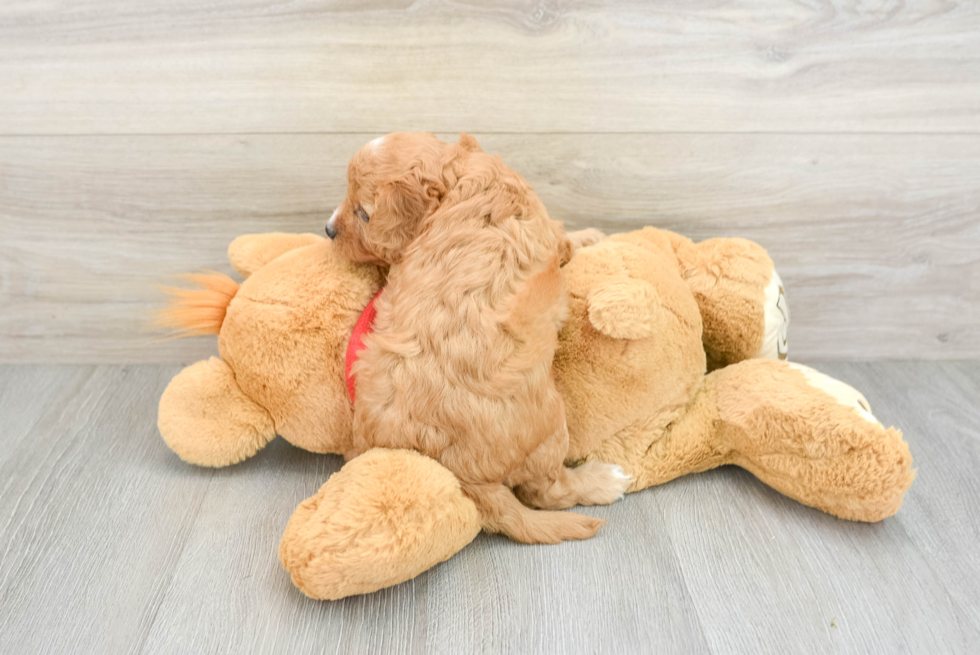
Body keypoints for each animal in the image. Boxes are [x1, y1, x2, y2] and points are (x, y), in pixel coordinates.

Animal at [322, 132, 628, 544]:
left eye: (363, 213)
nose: (328, 229)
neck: (456, 180)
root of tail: (462, 479)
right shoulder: (543, 226)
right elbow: (563, 237)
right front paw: (591, 235)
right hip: (550, 428)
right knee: (547, 492)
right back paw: (605, 480)